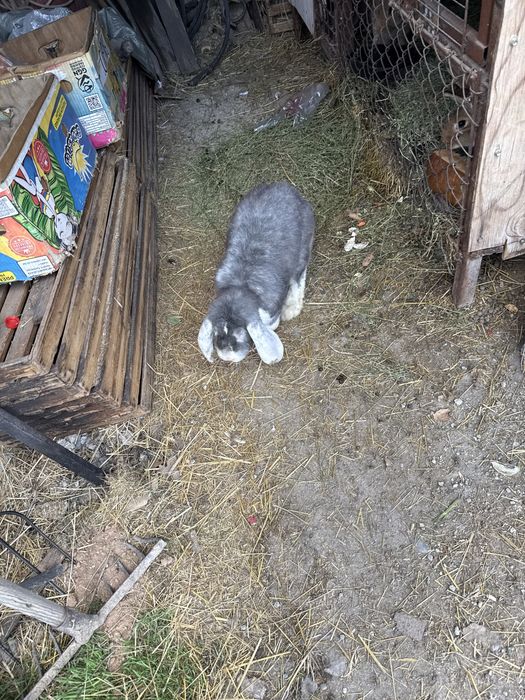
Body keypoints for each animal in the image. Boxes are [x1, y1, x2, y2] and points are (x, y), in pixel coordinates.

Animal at [198, 181, 315, 365]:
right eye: (217, 336)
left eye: (240, 335)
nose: (228, 356)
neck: (241, 286)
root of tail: (285, 187)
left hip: (305, 244)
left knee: (299, 276)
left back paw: (291, 309)